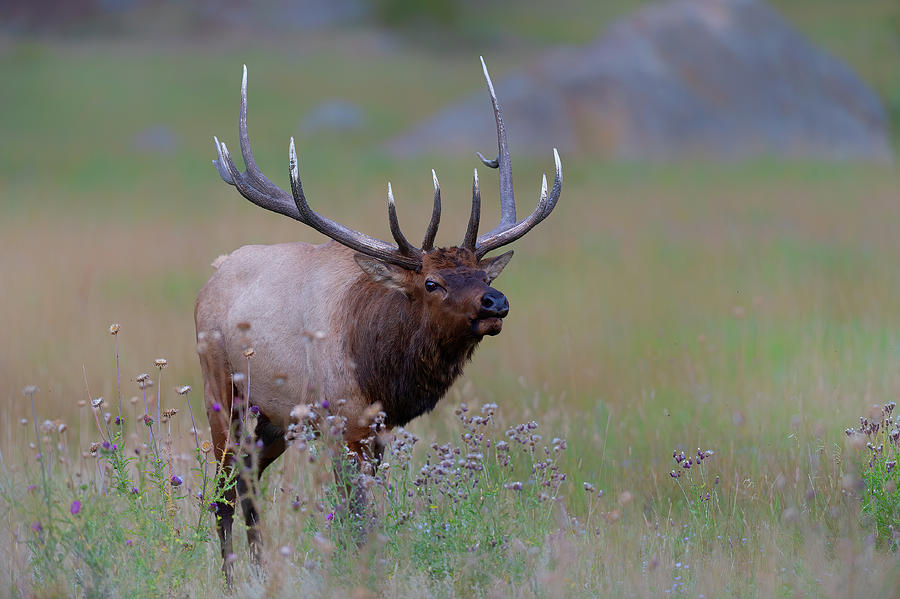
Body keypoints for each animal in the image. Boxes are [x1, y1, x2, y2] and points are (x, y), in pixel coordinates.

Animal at [197, 57, 564, 580]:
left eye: (479, 273)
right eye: (431, 283)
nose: (496, 303)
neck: (379, 370)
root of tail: (213, 274)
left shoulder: (376, 431)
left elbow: (368, 520)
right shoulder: (339, 422)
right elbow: (355, 519)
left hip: (273, 418)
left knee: (245, 483)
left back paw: (260, 569)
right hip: (220, 387)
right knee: (223, 489)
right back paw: (233, 578)